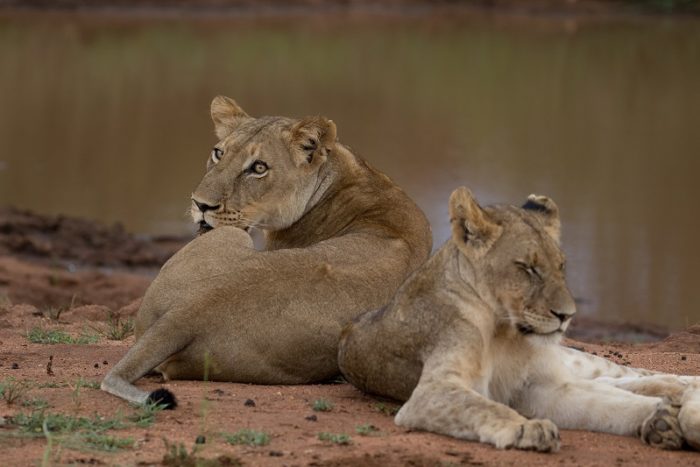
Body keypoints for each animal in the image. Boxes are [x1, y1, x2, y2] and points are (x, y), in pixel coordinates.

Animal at [338, 187, 700, 452]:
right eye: (527, 268)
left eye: (561, 266)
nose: (566, 316)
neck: (507, 333)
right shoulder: (434, 392)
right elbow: (485, 407)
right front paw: (528, 427)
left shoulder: (542, 386)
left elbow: (610, 404)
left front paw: (661, 418)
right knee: (610, 382)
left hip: (576, 361)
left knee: (626, 374)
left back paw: (682, 386)